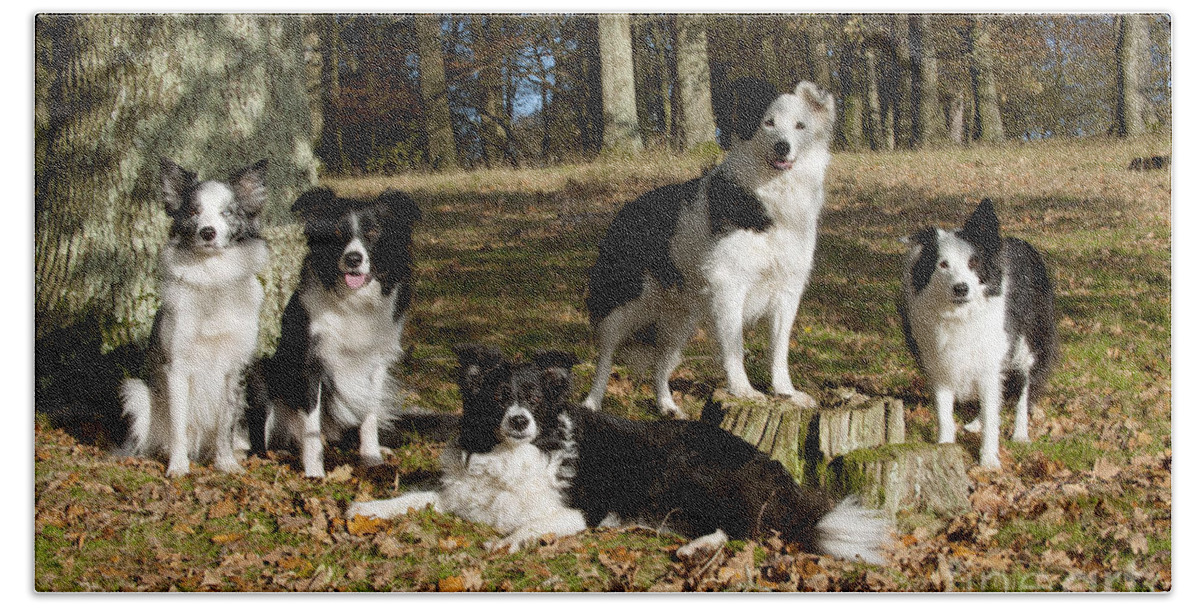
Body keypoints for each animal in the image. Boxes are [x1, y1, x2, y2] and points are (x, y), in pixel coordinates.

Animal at [255, 188, 420, 477]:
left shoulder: (376, 362)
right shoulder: (311, 363)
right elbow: (311, 425)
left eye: (373, 231)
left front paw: (371, 457)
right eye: (336, 232)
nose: (353, 259)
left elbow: (370, 413)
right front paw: (314, 471)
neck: (354, 301)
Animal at [348, 345, 892, 563]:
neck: (512, 453)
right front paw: (368, 508)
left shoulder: (582, 510)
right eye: (500, 398)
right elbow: (416, 497)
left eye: (535, 399)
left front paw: (507, 542)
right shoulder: (462, 493)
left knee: (745, 528)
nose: (520, 421)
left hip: (687, 472)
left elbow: (529, 524)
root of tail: (771, 466)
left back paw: (699, 547)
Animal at [583, 78, 835, 417]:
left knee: (660, 362)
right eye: (768, 123)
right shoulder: (729, 284)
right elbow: (735, 347)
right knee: (606, 354)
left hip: (680, 319)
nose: (783, 146)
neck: (771, 195)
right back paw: (592, 402)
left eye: (800, 126)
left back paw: (667, 406)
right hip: (626, 302)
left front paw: (786, 392)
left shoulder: (787, 289)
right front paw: (743, 390)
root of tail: (625, 210)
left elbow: (778, 350)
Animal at [902, 200, 1060, 470]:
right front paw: (945, 447)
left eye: (973, 263)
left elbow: (992, 413)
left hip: (1029, 346)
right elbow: (945, 413)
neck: (960, 315)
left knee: (1023, 391)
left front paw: (988, 460)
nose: (961, 288)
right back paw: (977, 422)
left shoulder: (991, 360)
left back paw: (1020, 433)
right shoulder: (940, 364)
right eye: (943, 264)